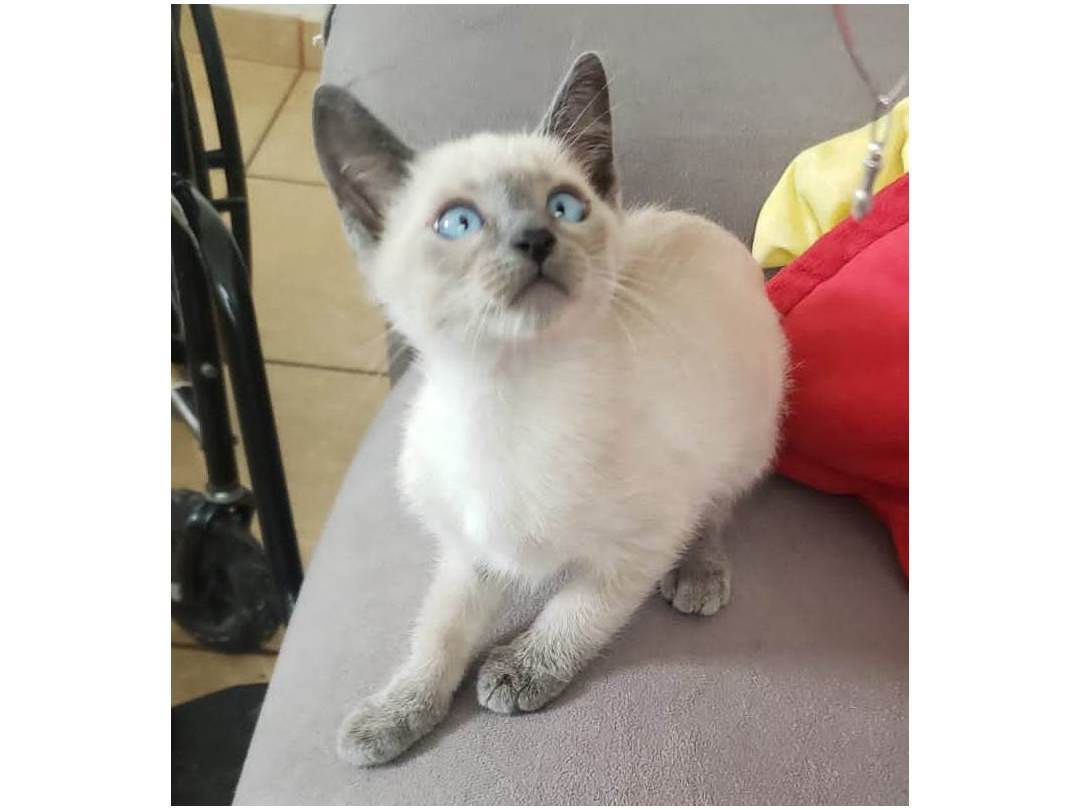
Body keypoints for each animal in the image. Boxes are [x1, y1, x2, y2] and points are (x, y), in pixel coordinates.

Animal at [313, 52, 788, 766]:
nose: (536, 238)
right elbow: (437, 633)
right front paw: (393, 714)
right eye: (458, 222)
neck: (507, 401)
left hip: (745, 434)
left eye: (565, 206)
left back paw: (699, 574)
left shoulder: (641, 543)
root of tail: (715, 231)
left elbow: (576, 612)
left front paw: (519, 673)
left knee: (715, 508)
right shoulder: (469, 550)